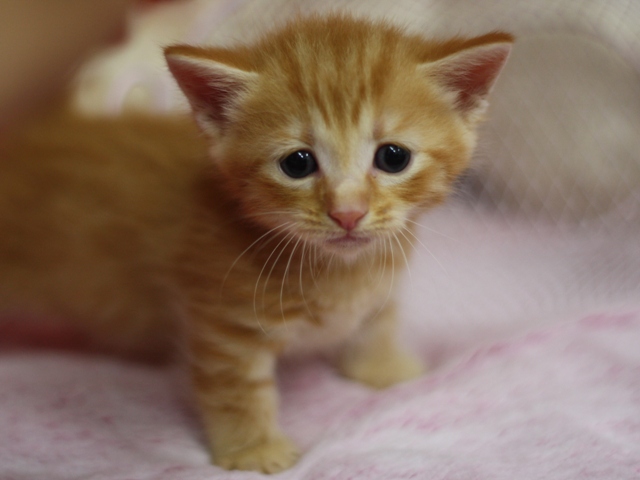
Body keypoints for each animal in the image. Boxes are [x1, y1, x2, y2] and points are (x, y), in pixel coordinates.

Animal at [0, 14, 510, 472]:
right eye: (298, 163)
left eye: (393, 157)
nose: (347, 213)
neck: (336, 270)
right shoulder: (223, 324)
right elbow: (236, 390)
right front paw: (253, 450)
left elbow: (377, 321)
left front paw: (385, 369)